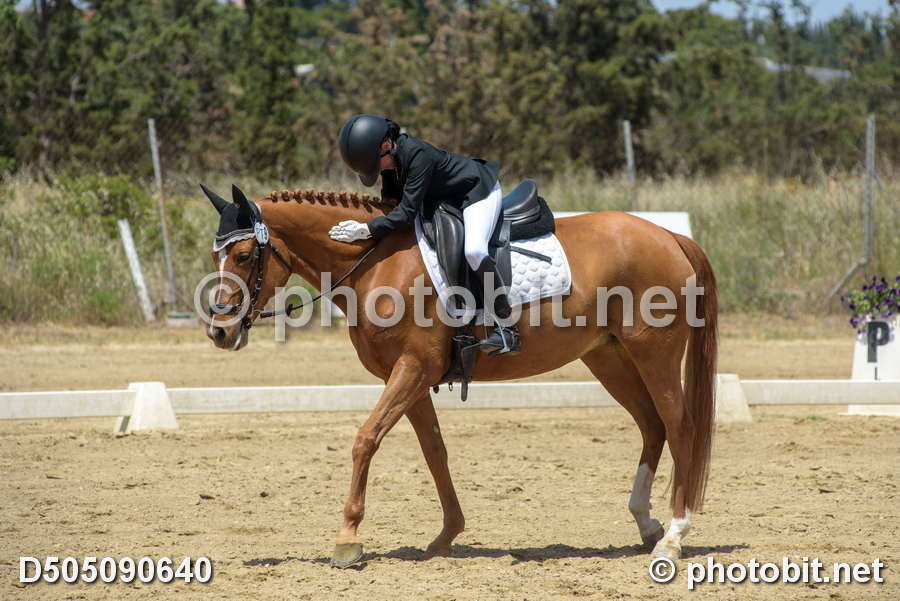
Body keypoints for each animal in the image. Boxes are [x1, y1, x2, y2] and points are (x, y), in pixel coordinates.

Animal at [201, 184, 718, 568]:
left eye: (244, 256)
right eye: (215, 258)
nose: (220, 332)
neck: (376, 265)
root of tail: (668, 235)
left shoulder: (412, 368)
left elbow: (365, 439)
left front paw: (347, 538)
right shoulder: (409, 376)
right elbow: (435, 452)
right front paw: (446, 536)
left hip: (654, 353)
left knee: (680, 427)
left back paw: (674, 536)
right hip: (609, 358)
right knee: (652, 425)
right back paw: (646, 524)